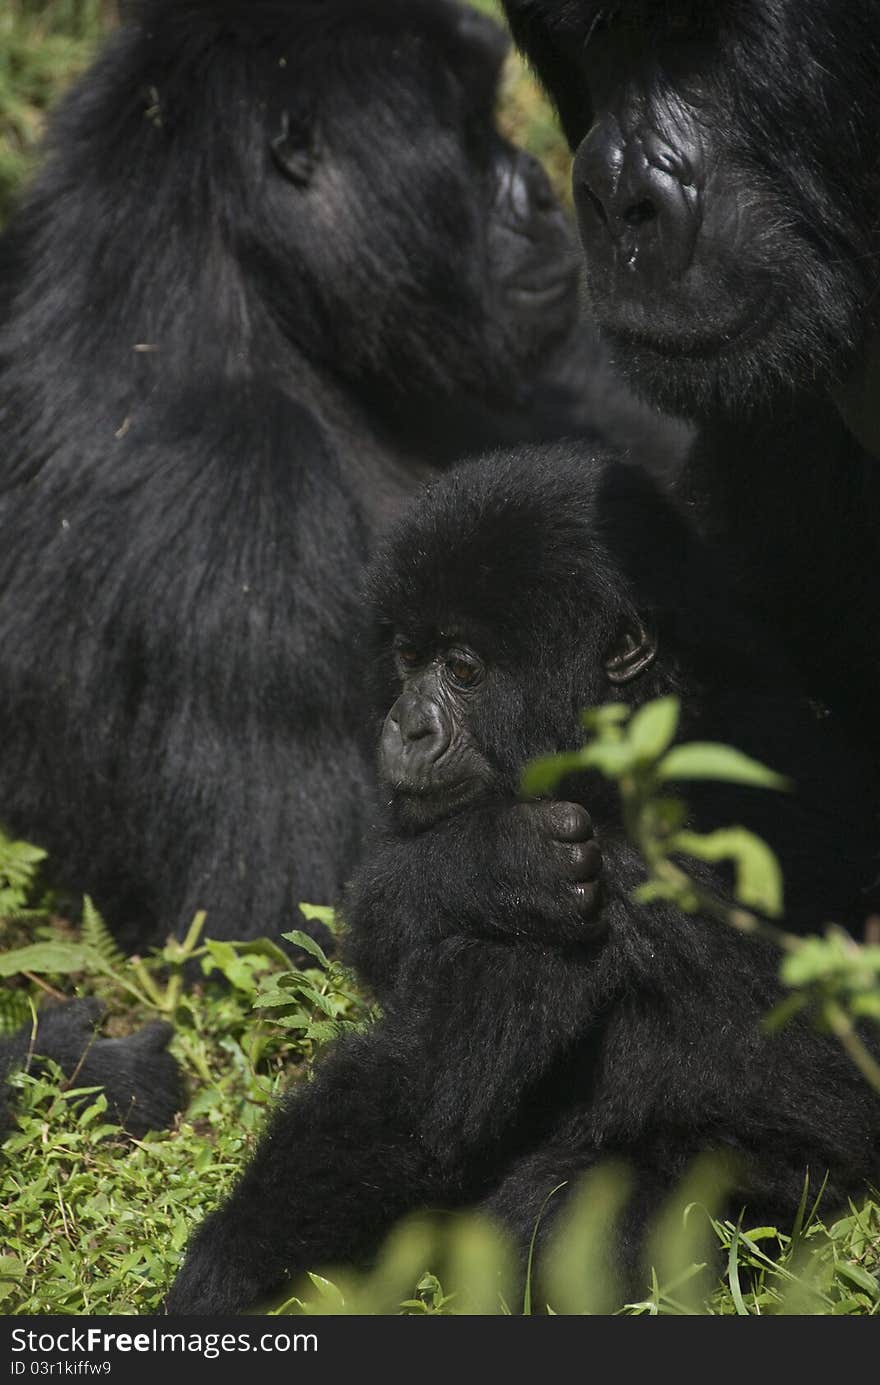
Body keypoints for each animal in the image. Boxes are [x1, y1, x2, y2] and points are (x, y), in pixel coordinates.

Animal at [164, 445, 880, 1318]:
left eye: (464, 669)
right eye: (410, 659)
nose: (406, 725)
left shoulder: (610, 879)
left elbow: (420, 1102)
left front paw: (222, 1270)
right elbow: (396, 925)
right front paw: (479, 863)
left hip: (797, 1188)